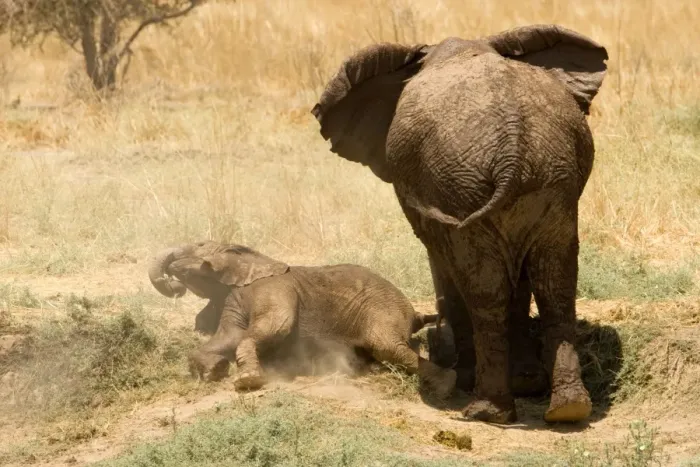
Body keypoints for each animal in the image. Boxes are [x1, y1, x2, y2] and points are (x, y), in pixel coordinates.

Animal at [148, 241, 457, 397]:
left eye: (198, 245)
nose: (173, 284)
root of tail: (413, 312)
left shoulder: (273, 289)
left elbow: (274, 327)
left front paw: (247, 382)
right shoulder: (233, 298)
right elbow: (230, 335)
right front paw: (214, 370)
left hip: (384, 309)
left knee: (388, 346)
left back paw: (446, 386)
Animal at [311, 24, 608, 424]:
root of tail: (514, 146)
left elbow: (447, 265)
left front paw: (471, 379)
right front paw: (527, 383)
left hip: (462, 186)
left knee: (485, 288)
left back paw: (485, 411)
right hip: (551, 181)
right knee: (555, 284)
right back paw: (568, 410)